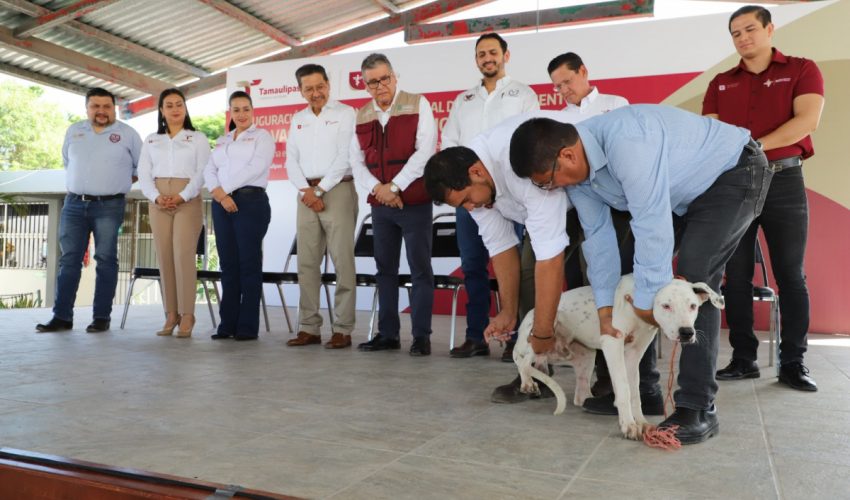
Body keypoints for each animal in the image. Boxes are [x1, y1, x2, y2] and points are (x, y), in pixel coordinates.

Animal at [510, 276, 724, 440]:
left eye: (693, 306)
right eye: (666, 306)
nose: (687, 332)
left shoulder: (635, 353)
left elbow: (635, 392)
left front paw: (641, 422)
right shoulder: (612, 344)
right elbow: (623, 389)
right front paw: (628, 424)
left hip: (585, 357)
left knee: (580, 394)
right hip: (543, 332)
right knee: (522, 360)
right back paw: (527, 382)